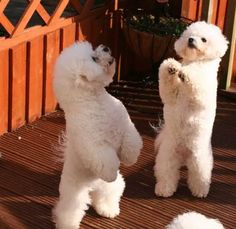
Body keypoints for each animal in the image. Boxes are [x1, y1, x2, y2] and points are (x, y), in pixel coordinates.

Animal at [52, 40, 142, 228]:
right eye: (94, 58)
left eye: (95, 50)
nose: (106, 47)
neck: (95, 100)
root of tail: (93, 186)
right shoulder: (94, 146)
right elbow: (106, 160)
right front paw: (110, 171)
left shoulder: (126, 126)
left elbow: (131, 141)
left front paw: (130, 159)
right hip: (75, 192)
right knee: (71, 209)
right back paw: (67, 223)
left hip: (109, 188)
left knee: (110, 193)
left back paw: (108, 210)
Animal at [154, 20, 228, 198]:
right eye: (189, 35)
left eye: (203, 39)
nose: (191, 40)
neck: (196, 62)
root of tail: (184, 157)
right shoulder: (171, 96)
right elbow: (166, 84)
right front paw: (171, 67)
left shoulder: (202, 93)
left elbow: (196, 79)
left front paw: (187, 73)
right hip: (167, 156)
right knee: (167, 173)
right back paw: (164, 189)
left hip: (199, 160)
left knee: (199, 176)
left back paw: (200, 190)